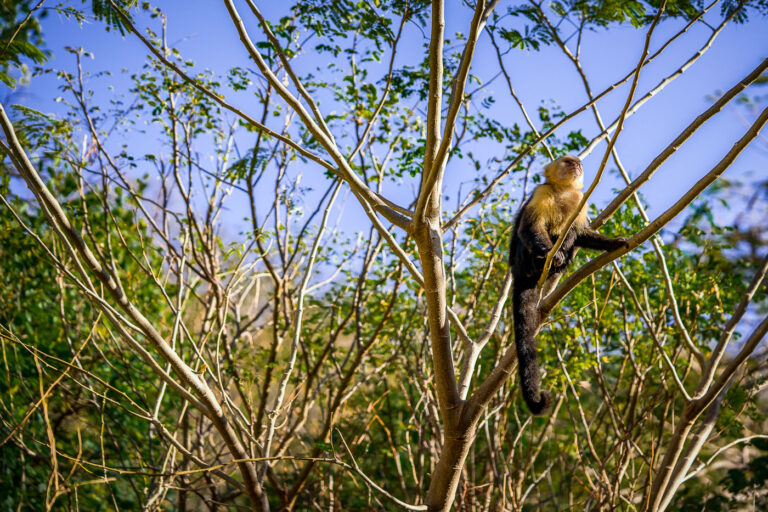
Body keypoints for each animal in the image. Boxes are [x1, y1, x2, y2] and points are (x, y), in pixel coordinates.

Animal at [508, 155, 628, 415]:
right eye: (567, 162)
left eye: (577, 163)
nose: (577, 166)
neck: (562, 192)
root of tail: (518, 273)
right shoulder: (541, 192)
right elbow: (530, 227)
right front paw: (550, 254)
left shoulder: (579, 203)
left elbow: (580, 232)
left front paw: (614, 243)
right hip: (522, 261)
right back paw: (546, 260)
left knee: (569, 235)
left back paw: (561, 261)